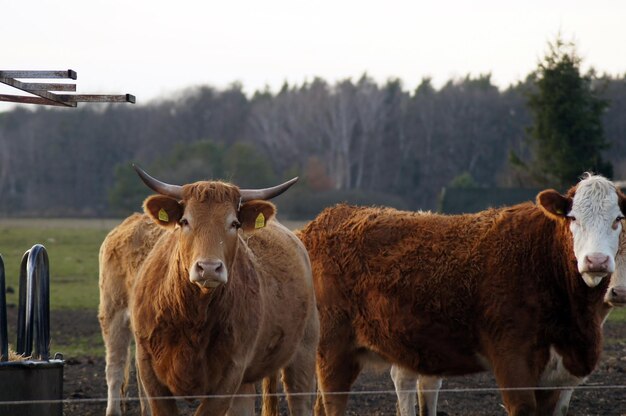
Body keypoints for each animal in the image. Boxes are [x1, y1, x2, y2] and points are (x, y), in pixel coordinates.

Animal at [100, 167, 322, 416]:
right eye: (185, 221)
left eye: (234, 223)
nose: (208, 268)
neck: (191, 317)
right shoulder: (149, 367)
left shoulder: (231, 373)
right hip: (113, 315)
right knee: (115, 368)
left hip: (303, 352)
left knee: (298, 399)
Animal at [296, 174, 624, 414]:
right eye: (573, 218)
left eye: (618, 220)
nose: (596, 261)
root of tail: (324, 220)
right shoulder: (513, 364)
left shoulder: (554, 381)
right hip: (333, 351)